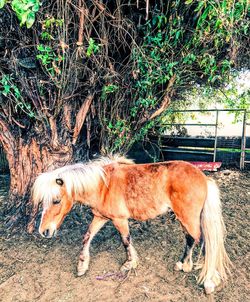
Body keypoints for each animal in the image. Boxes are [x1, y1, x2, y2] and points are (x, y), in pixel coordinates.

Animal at [32, 155, 231, 294]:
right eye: (42, 201)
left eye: (56, 200)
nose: (44, 231)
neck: (103, 186)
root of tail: (204, 178)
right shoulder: (100, 217)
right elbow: (87, 237)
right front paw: (82, 265)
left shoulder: (119, 219)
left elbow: (126, 240)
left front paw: (129, 263)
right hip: (185, 218)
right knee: (191, 239)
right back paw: (183, 265)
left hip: (188, 217)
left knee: (203, 242)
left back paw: (208, 280)